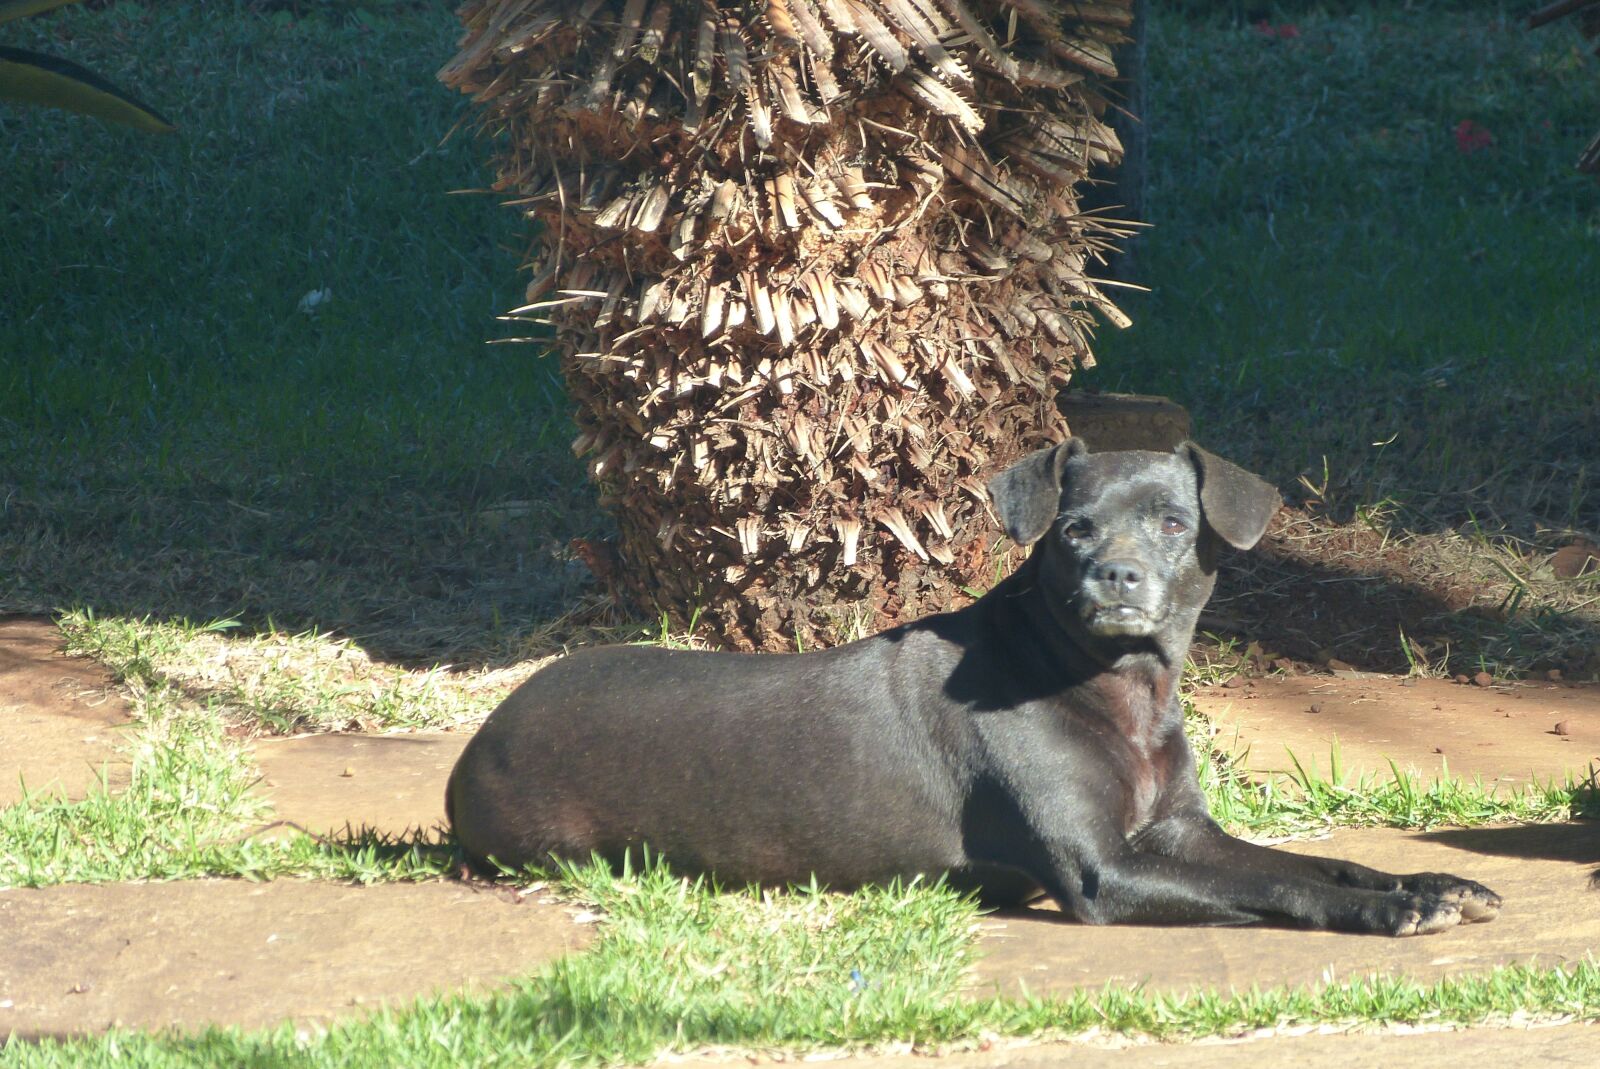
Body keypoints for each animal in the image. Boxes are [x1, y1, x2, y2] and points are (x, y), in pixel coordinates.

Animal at [451, 435, 1497, 934]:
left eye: (1171, 522)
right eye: (1075, 528)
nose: (1115, 576)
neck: (1117, 685)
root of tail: (484, 734)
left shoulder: (1180, 833)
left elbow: (1318, 862)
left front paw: (1427, 881)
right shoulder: (1103, 871)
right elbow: (1280, 885)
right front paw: (1389, 911)